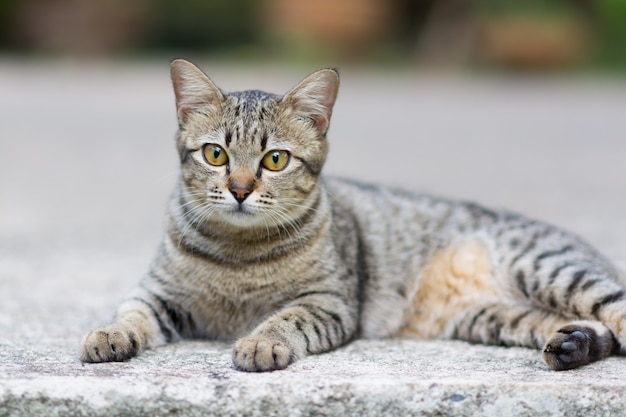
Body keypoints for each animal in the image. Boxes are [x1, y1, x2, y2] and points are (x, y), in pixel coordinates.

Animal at [80, 57, 624, 370]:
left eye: (274, 160)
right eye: (215, 154)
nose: (238, 189)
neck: (238, 253)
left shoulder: (329, 302)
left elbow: (286, 318)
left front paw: (261, 342)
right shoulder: (159, 293)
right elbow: (131, 312)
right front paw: (108, 334)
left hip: (548, 268)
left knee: (616, 312)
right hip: (500, 316)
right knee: (595, 331)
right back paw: (573, 344)